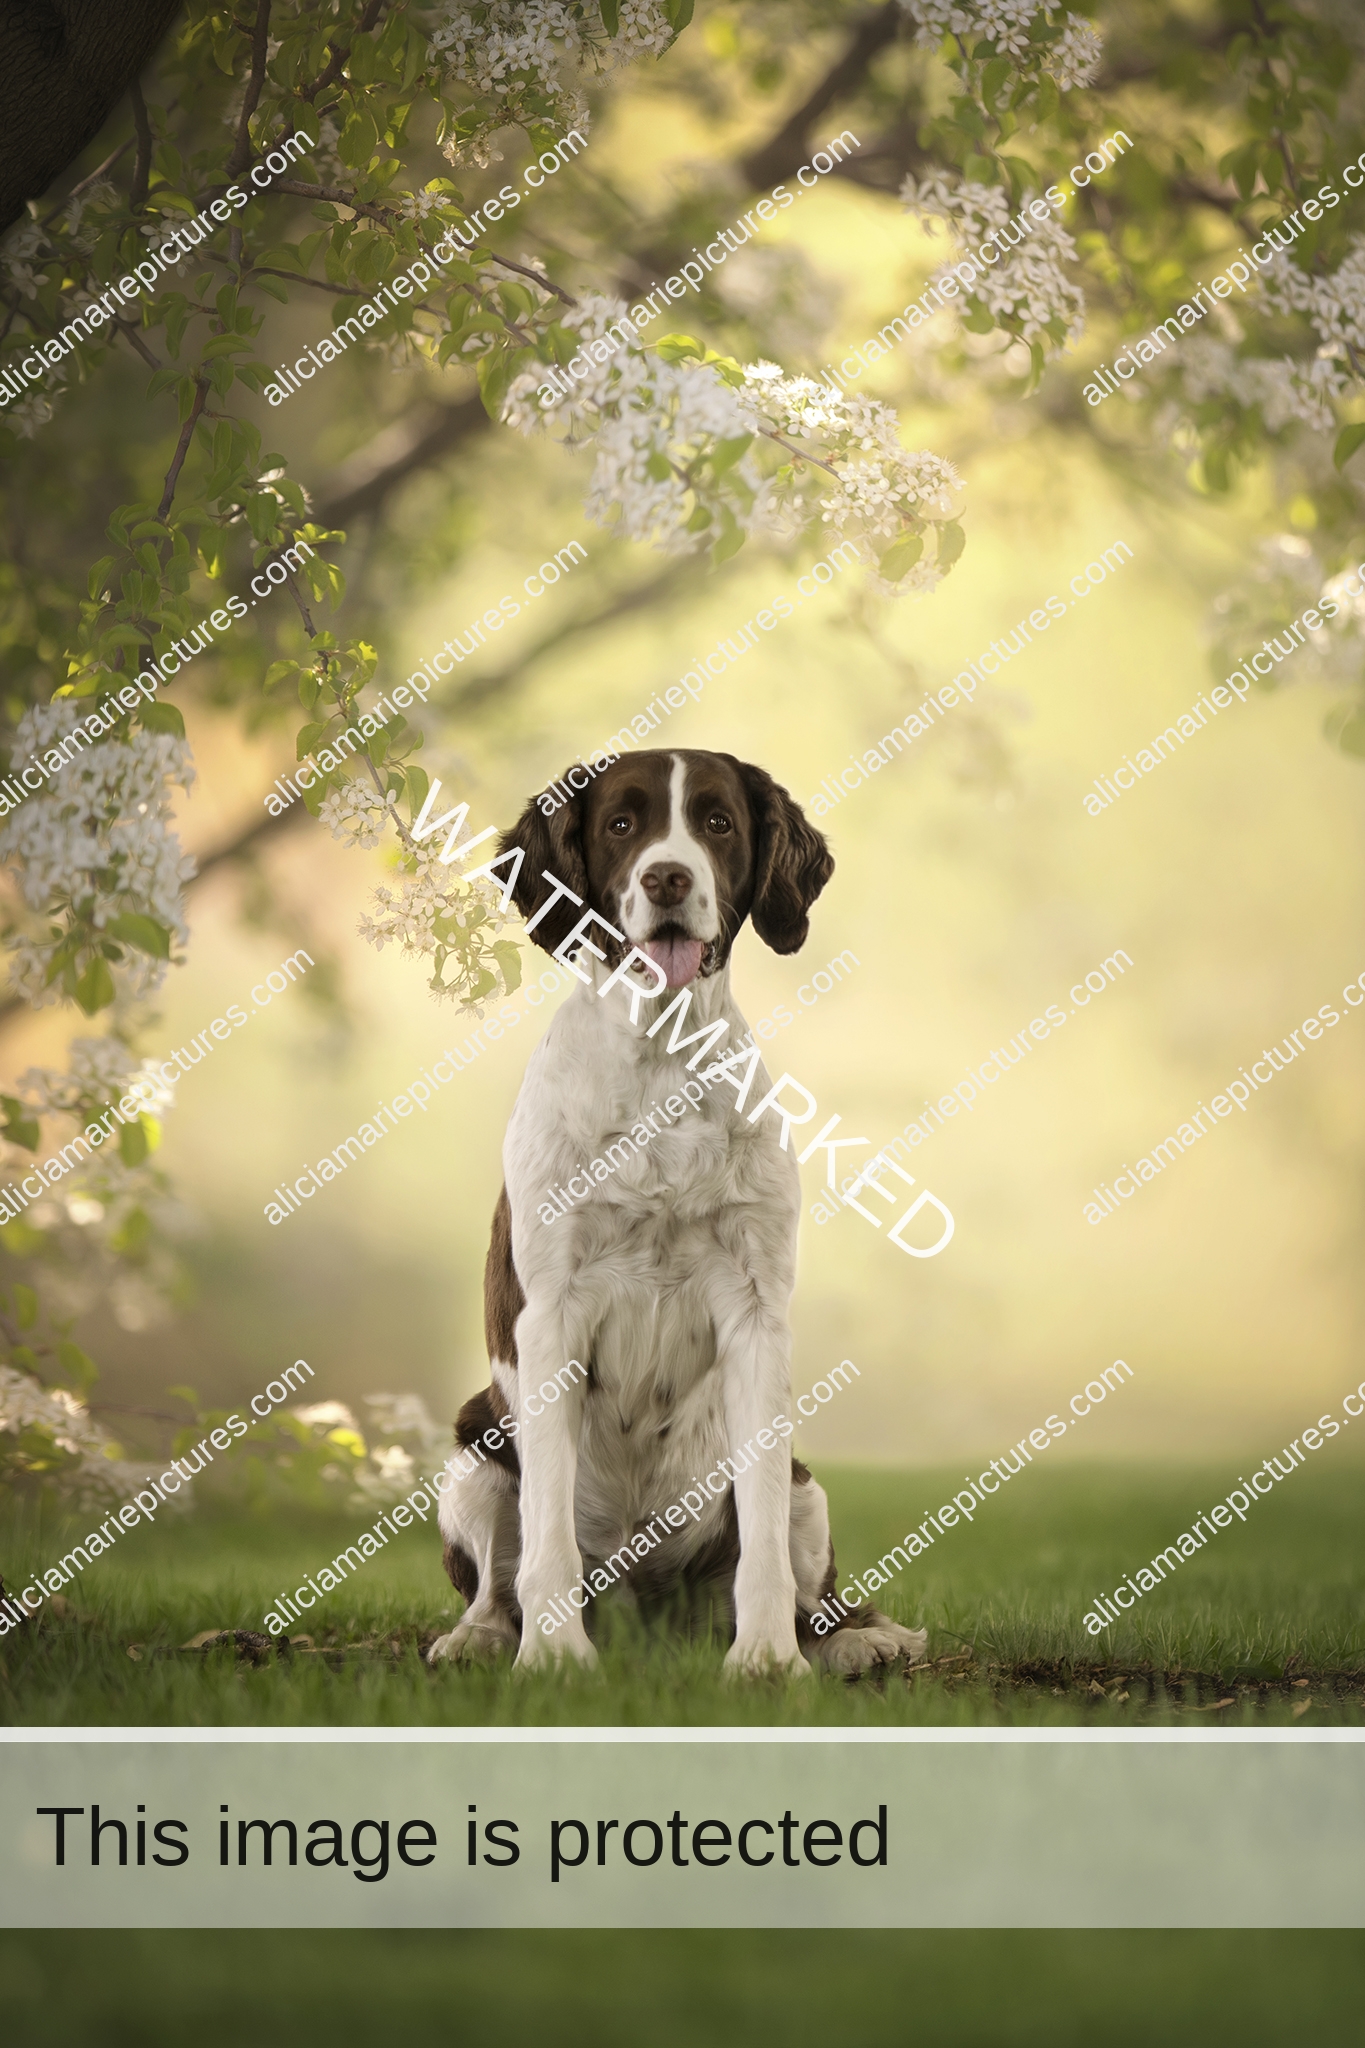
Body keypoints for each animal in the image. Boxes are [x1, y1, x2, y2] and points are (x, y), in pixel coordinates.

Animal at [429, 753, 929, 1679]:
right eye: (621, 825)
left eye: (717, 823)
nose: (668, 876)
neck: (661, 1057)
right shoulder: (550, 1316)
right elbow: (545, 1536)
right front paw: (554, 1655)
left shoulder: (756, 1314)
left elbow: (761, 1540)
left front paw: (766, 1660)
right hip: (473, 1455)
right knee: (495, 1573)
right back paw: (484, 1635)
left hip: (806, 1485)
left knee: (810, 1580)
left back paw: (855, 1639)